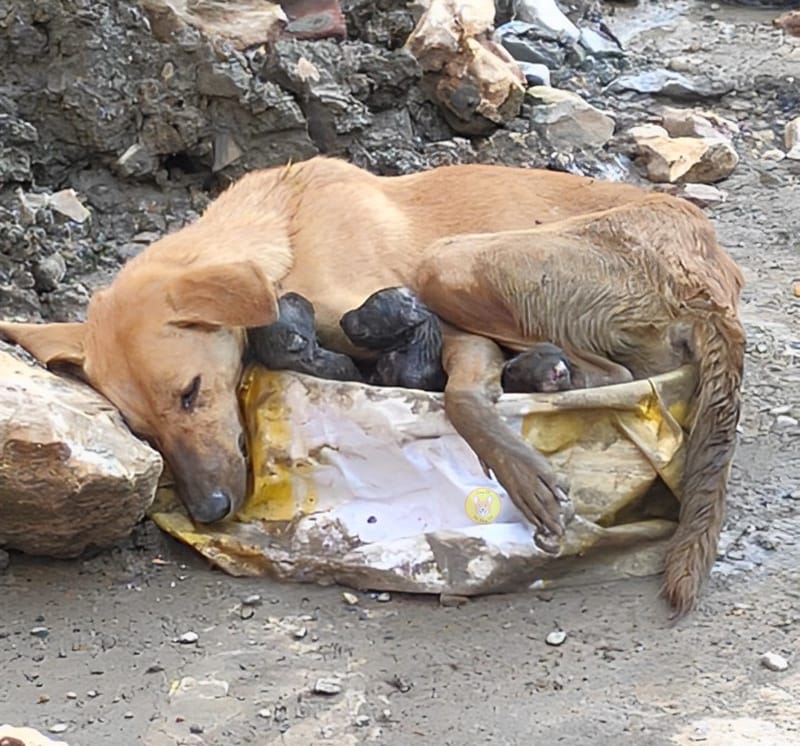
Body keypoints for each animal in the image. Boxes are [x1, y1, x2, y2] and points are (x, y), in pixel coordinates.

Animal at [3, 154, 748, 612]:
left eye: (190, 393)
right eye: (142, 430)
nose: (210, 511)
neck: (286, 234)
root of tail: (710, 270)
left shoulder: (438, 327)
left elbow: (461, 397)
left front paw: (519, 470)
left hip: (451, 263)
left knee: (611, 375)